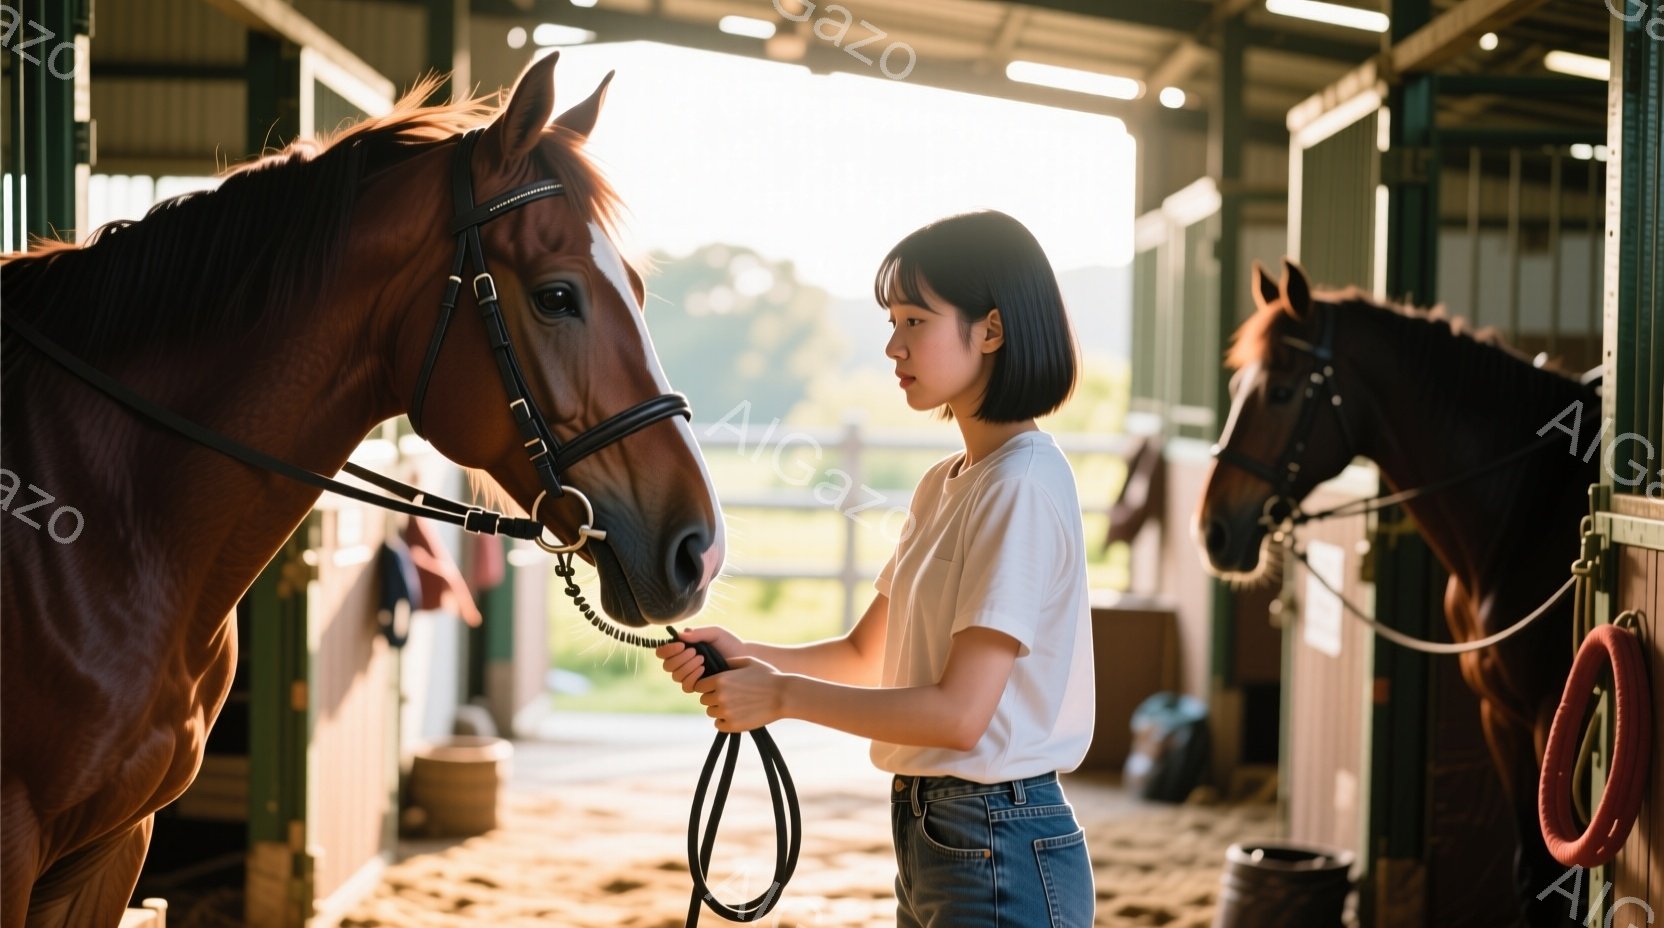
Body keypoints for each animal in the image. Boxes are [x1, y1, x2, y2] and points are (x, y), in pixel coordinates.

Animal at [1196, 259, 1597, 928]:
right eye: (1235, 386)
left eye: (1281, 392)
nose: (1213, 533)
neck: (1527, 507)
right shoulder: (1502, 718)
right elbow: (1531, 875)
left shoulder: (1551, 715)